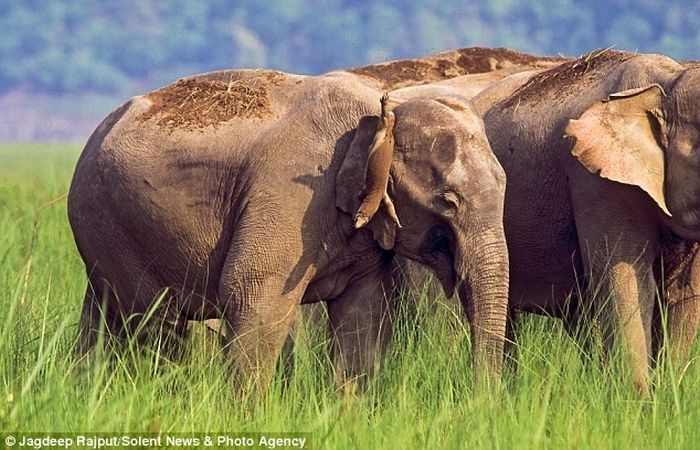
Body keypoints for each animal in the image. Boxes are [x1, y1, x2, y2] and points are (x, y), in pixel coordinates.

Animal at [67, 67, 508, 390]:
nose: (482, 403)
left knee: (104, 315)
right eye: (448, 201)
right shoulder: (292, 196)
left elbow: (364, 313)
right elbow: (252, 294)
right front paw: (247, 415)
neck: (383, 107)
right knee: (154, 323)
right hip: (110, 221)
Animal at [474, 49, 700, 392]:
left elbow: (684, 295)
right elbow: (626, 282)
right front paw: (636, 400)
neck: (670, 81)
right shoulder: (596, 181)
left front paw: (670, 393)